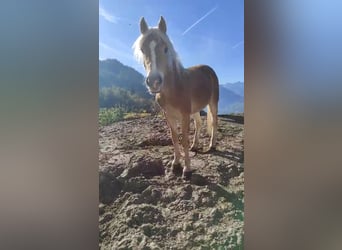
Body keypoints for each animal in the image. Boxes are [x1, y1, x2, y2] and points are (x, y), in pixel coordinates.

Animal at [132, 16, 219, 180]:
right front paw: (175, 164)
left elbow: (183, 139)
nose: (154, 81)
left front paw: (187, 170)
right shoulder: (168, 115)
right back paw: (195, 145)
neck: (173, 88)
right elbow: (174, 137)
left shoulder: (184, 115)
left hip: (213, 103)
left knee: (214, 122)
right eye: (142, 50)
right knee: (198, 123)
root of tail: (208, 69)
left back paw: (211, 145)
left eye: (166, 48)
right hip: (195, 109)